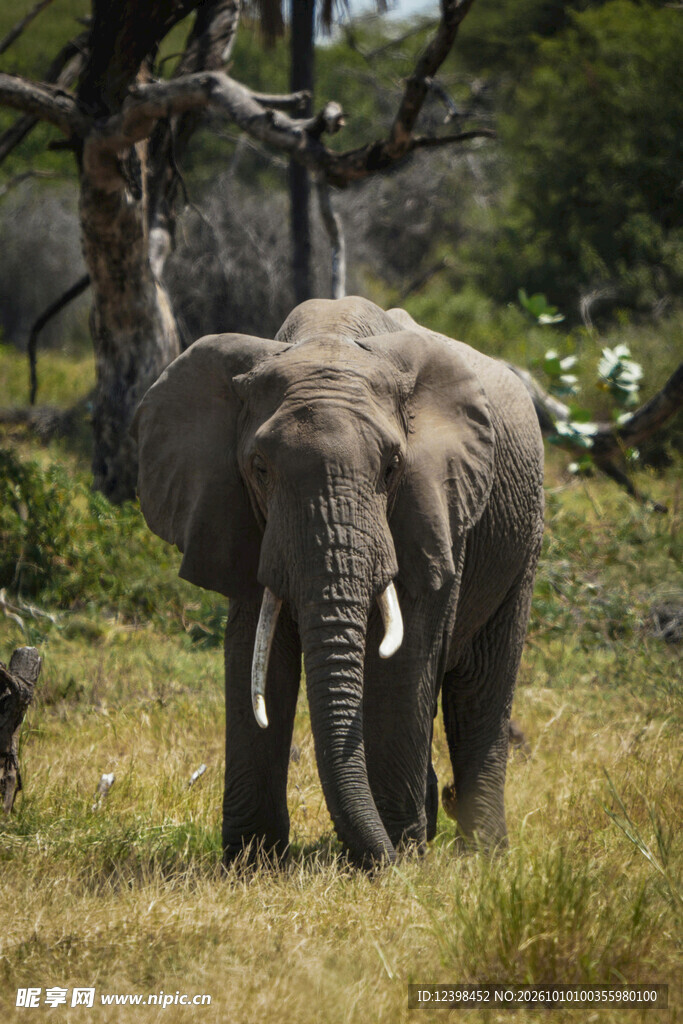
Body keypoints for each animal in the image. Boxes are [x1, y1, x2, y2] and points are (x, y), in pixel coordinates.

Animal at [132, 296, 544, 867]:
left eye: (392, 467)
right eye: (259, 468)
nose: (385, 861)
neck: (329, 336)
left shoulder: (435, 505)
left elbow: (407, 656)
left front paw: (400, 855)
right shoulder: (240, 515)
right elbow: (257, 651)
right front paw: (250, 863)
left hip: (523, 540)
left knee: (480, 689)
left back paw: (481, 854)